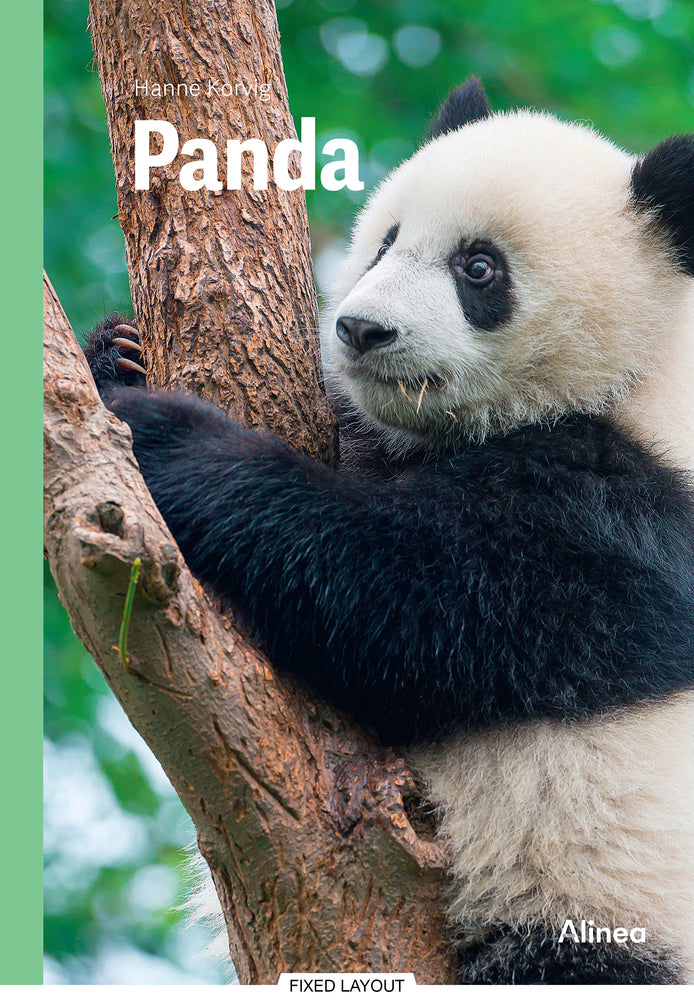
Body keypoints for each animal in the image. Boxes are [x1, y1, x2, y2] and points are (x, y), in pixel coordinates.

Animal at [84, 78, 694, 985]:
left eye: (479, 268)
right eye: (386, 242)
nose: (361, 330)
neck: (636, 372)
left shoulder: (630, 517)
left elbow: (417, 599)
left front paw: (166, 433)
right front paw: (116, 356)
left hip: (600, 900)